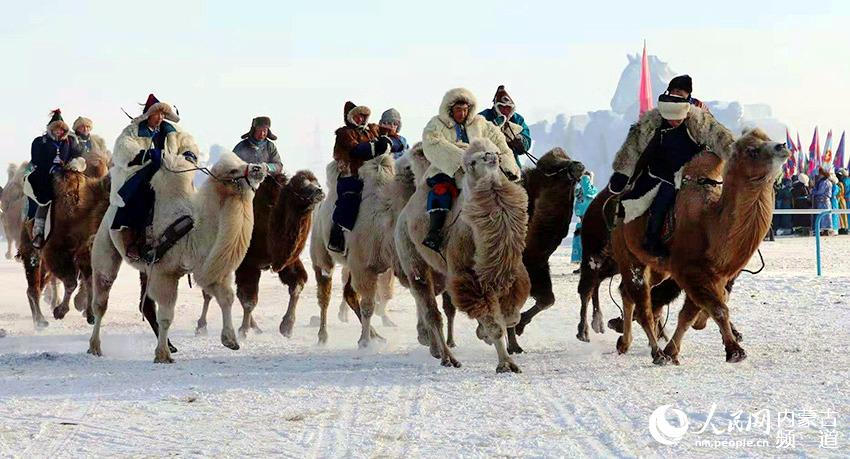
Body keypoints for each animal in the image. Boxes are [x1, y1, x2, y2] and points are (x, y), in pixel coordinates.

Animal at [196, 171, 324, 340]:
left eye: (316, 182)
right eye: (302, 185)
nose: (319, 191)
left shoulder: (289, 262)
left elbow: (297, 284)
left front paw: (287, 327)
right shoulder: (248, 264)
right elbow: (249, 300)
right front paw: (243, 331)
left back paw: (256, 327)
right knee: (209, 291)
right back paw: (201, 326)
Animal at [394, 139, 528, 374]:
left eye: (496, 152)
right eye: (471, 163)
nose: (490, 157)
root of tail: (405, 214)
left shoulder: (508, 272)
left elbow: (510, 315)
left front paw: (484, 334)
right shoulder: (468, 274)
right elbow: (494, 323)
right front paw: (506, 363)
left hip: (439, 272)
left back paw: (433, 347)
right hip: (410, 253)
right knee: (430, 308)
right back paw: (447, 357)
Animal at [608, 127, 788, 364]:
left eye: (767, 139)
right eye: (752, 150)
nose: (782, 146)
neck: (710, 224)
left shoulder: (711, 275)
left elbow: (689, 315)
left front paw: (673, 350)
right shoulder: (690, 271)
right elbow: (718, 309)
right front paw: (735, 351)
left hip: (657, 268)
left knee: (628, 292)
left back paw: (625, 343)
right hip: (628, 253)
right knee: (641, 301)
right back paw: (656, 352)